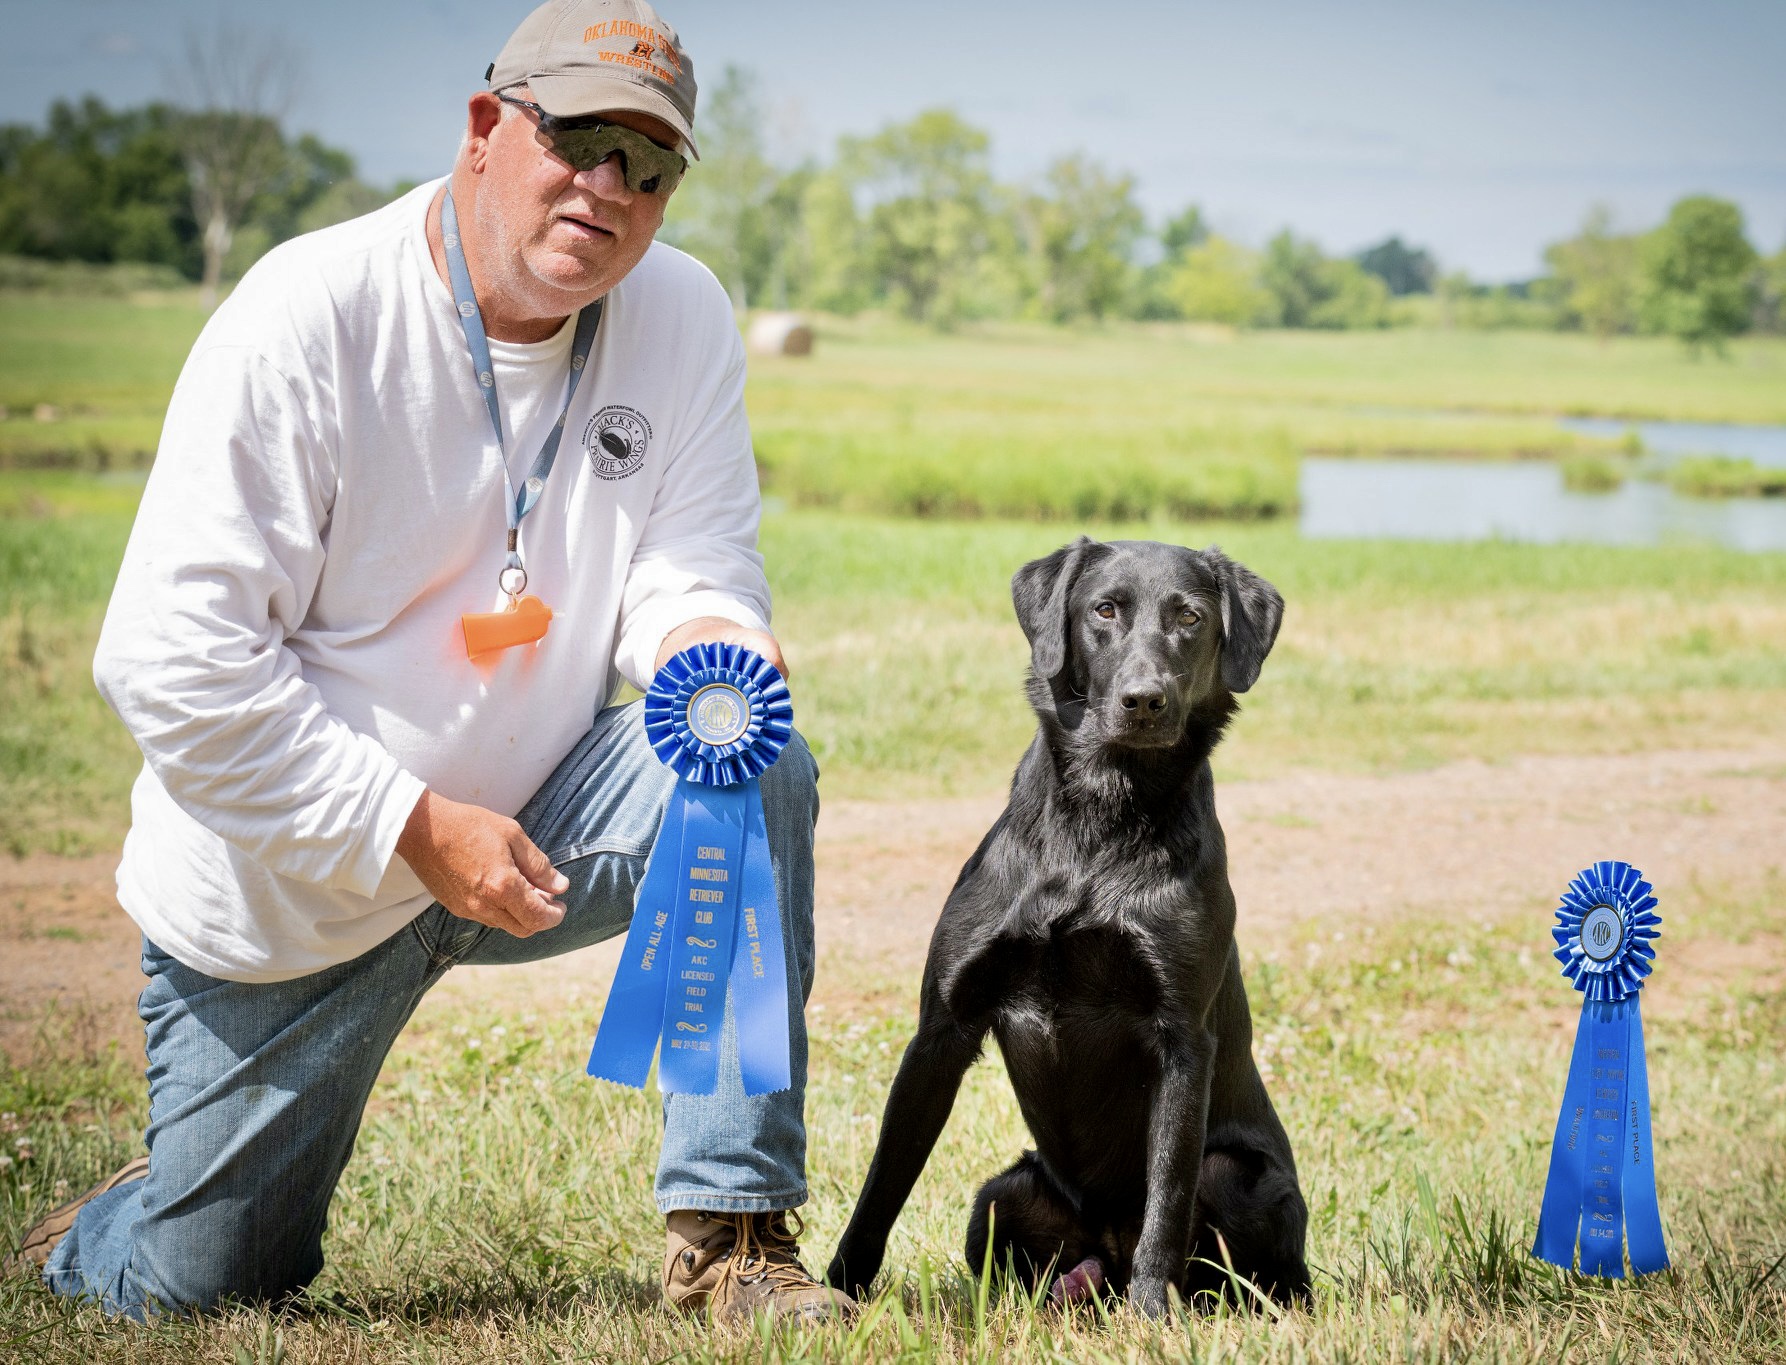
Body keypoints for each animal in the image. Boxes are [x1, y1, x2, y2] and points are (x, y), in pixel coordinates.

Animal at [825, 539, 1314, 1314]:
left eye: (1191, 617)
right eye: (1105, 610)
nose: (1144, 700)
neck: (1098, 821)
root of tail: (1104, 1251)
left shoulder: (1183, 1040)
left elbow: (1167, 1198)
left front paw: (1153, 1318)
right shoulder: (941, 1030)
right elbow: (883, 1185)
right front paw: (838, 1292)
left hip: (1238, 1177)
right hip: (1003, 1195)